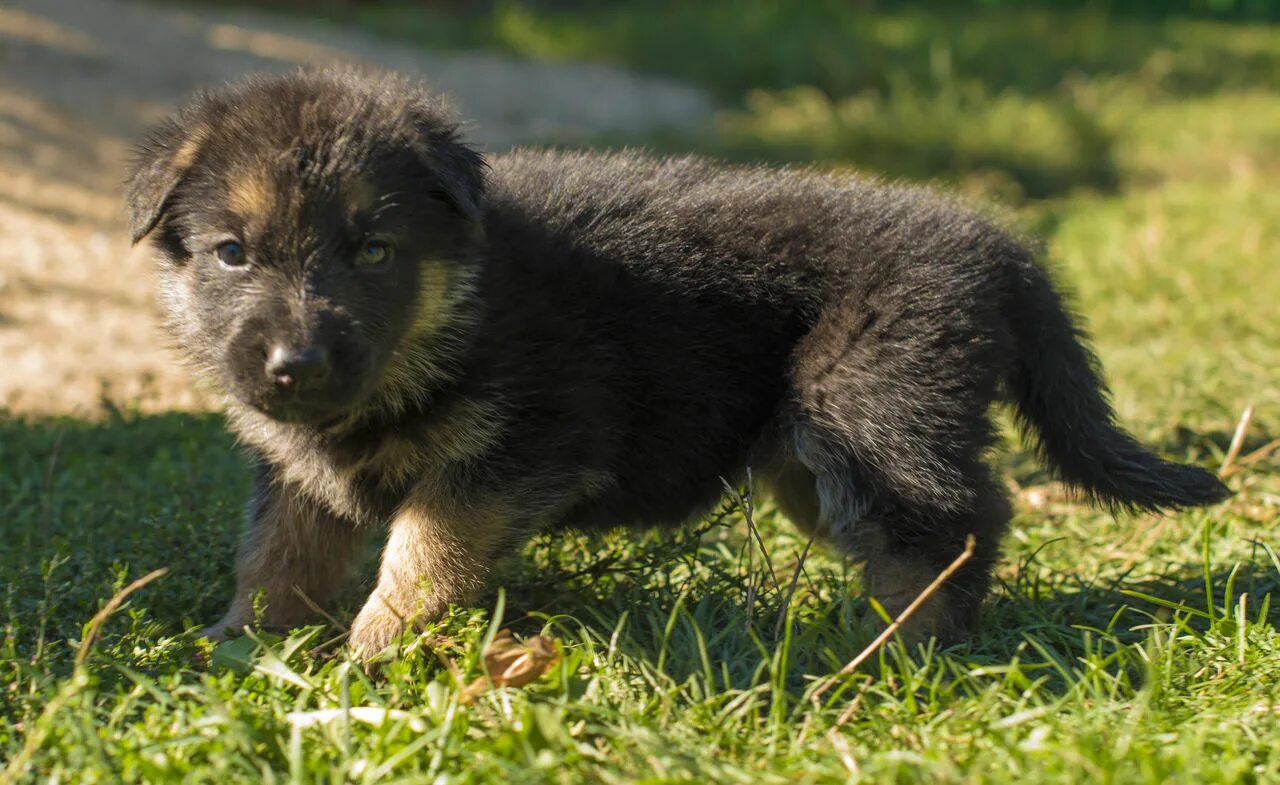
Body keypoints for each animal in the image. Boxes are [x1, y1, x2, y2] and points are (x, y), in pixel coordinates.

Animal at [127, 67, 1228, 655]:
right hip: (810, 455)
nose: (295, 365)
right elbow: (279, 557)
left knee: (956, 520)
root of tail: (996, 245)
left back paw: (901, 650)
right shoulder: (297, 476)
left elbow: (419, 552)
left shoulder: (511, 457)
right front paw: (241, 648)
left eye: (372, 252)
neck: (459, 316)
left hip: (871, 408)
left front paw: (373, 649)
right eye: (233, 252)